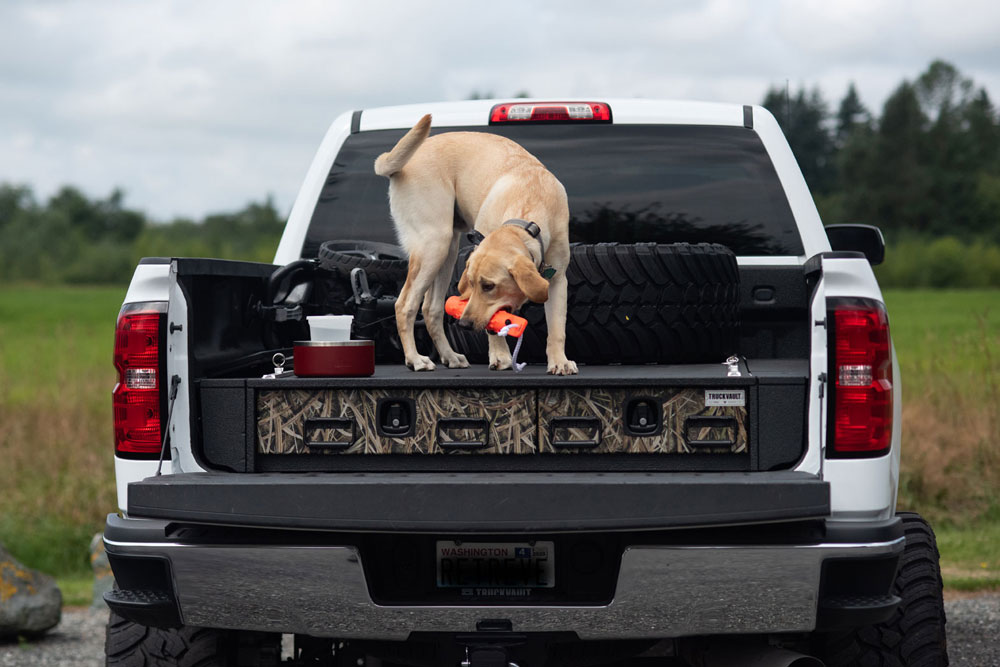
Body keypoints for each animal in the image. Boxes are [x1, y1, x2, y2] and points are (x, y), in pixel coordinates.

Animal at [376, 115, 580, 376]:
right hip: (434, 244)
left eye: (488, 286)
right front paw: (500, 356)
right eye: (471, 284)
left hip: (448, 250)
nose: (464, 323)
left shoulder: (557, 280)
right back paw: (415, 359)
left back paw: (450, 356)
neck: (529, 206)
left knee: (431, 309)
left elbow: (556, 329)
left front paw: (559, 361)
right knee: (405, 305)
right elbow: (494, 329)